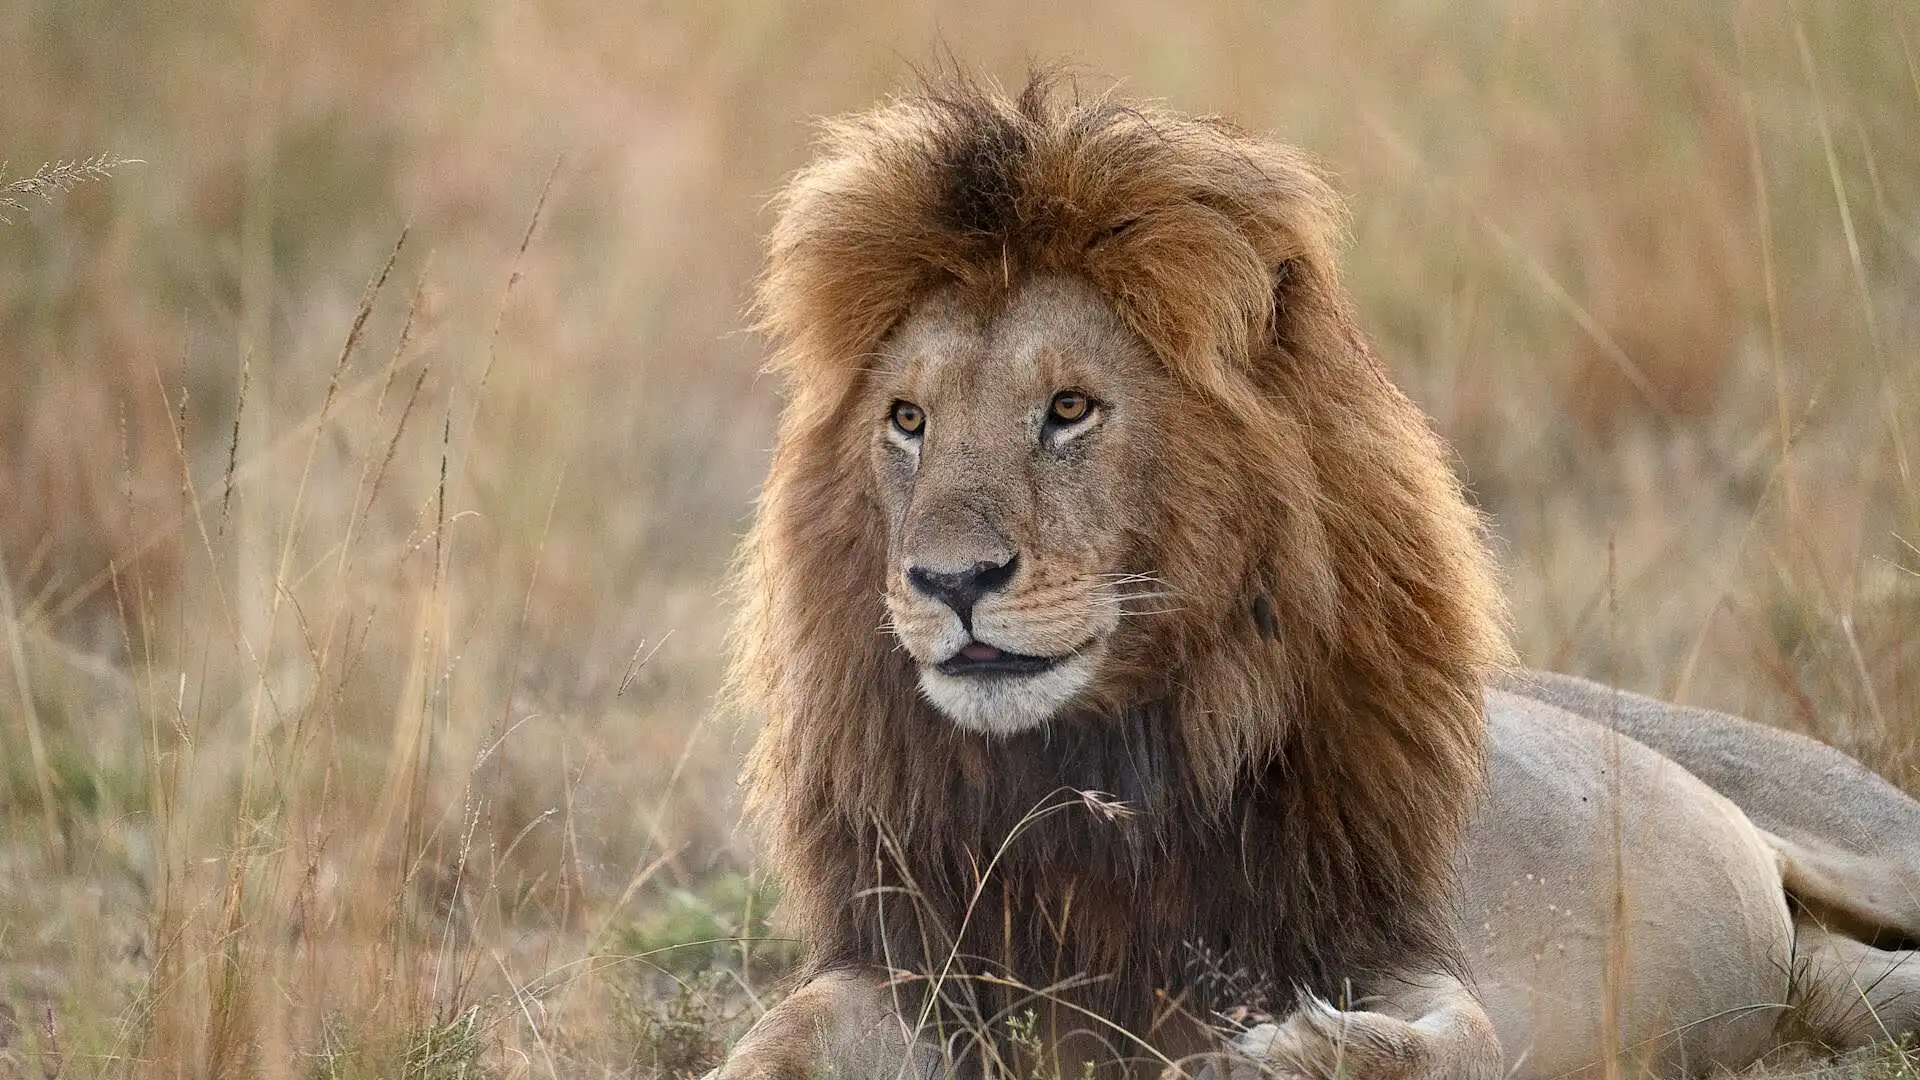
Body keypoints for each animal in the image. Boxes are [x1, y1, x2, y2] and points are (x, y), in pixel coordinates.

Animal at [710, 71, 1920, 1068]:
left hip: (1869, 839)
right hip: (1826, 985)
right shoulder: (932, 965)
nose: (950, 582)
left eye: (1069, 409)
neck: (1092, 774)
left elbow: (1451, 1046)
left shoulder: (1397, 947)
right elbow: (775, 1041)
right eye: (907, 420)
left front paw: (1274, 1052)